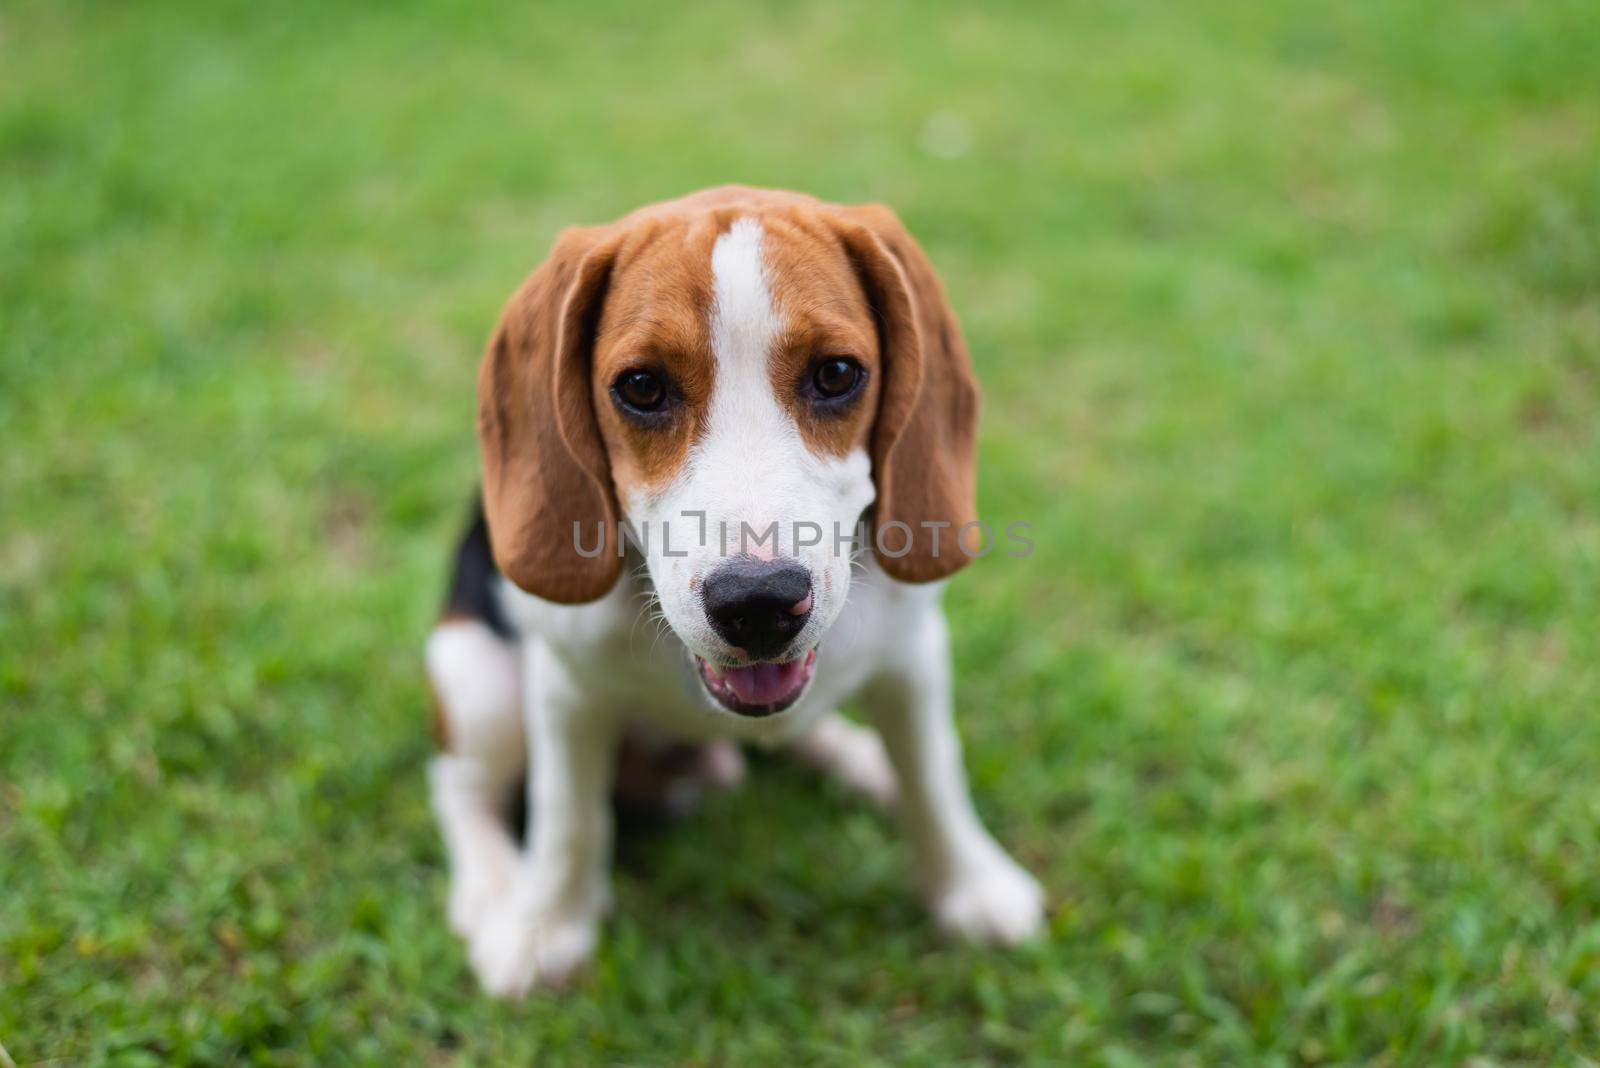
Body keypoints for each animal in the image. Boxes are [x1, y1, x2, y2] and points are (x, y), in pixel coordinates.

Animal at [432, 187, 1043, 997]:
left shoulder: (914, 657)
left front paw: (970, 884)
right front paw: (545, 929)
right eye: (641, 387)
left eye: (837, 374)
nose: (757, 603)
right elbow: (567, 818)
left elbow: (934, 777)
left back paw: (861, 760)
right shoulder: (565, 689)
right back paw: (495, 886)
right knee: (462, 787)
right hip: (474, 677)